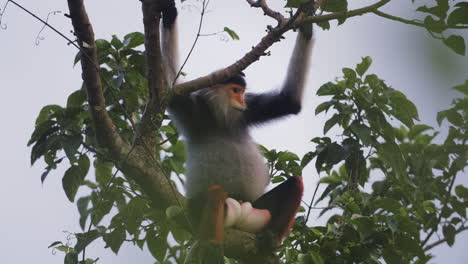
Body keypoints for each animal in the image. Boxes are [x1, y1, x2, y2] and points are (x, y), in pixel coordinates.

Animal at [160, 0, 310, 256]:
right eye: (235, 90)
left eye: (242, 92)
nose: (242, 100)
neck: (220, 117)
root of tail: (241, 213)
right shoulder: (190, 108)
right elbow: (169, 83)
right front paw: (168, 10)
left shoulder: (247, 112)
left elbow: (289, 102)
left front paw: (308, 19)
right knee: (215, 195)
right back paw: (211, 244)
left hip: (257, 210)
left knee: (295, 183)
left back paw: (270, 238)